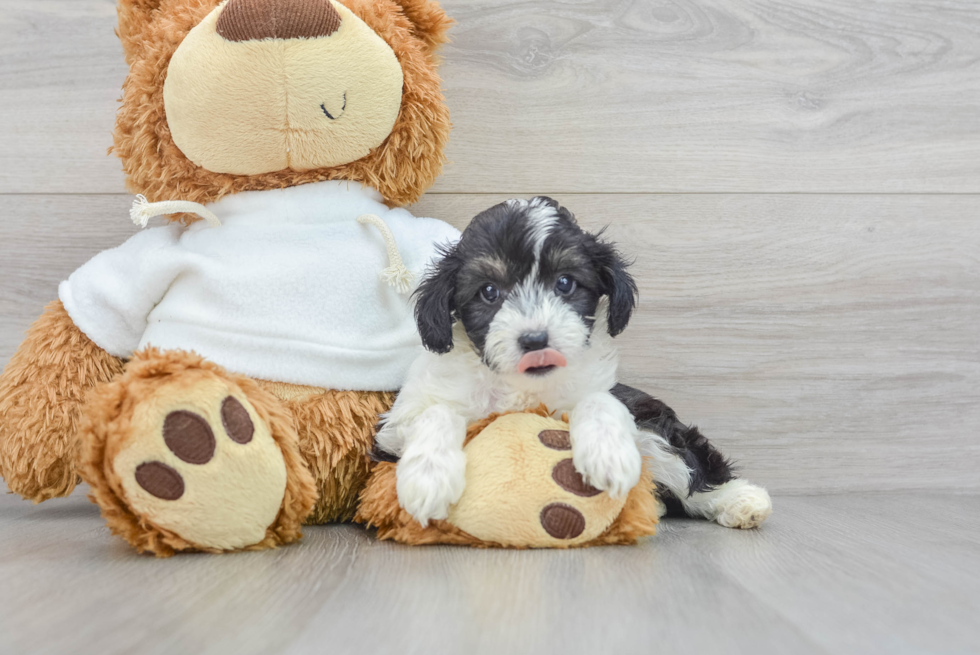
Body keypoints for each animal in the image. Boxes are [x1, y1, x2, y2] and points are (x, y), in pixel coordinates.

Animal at [376, 197, 772, 532]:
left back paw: (740, 500)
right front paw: (428, 478)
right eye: (489, 291)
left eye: (565, 283)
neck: (523, 388)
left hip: (656, 429)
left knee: (691, 472)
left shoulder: (599, 392)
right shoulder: (396, 427)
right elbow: (436, 412)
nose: (535, 340)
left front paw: (608, 455)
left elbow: (598, 401)